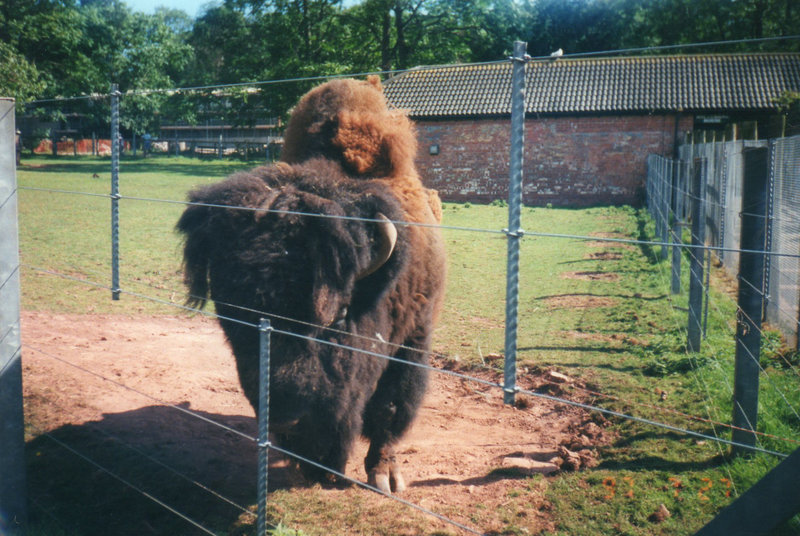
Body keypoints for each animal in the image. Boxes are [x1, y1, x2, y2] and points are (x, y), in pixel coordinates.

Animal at [177, 78, 446, 494]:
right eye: (230, 317)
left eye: (338, 315)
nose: (286, 416)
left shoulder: (413, 340)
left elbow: (390, 410)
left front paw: (384, 477)